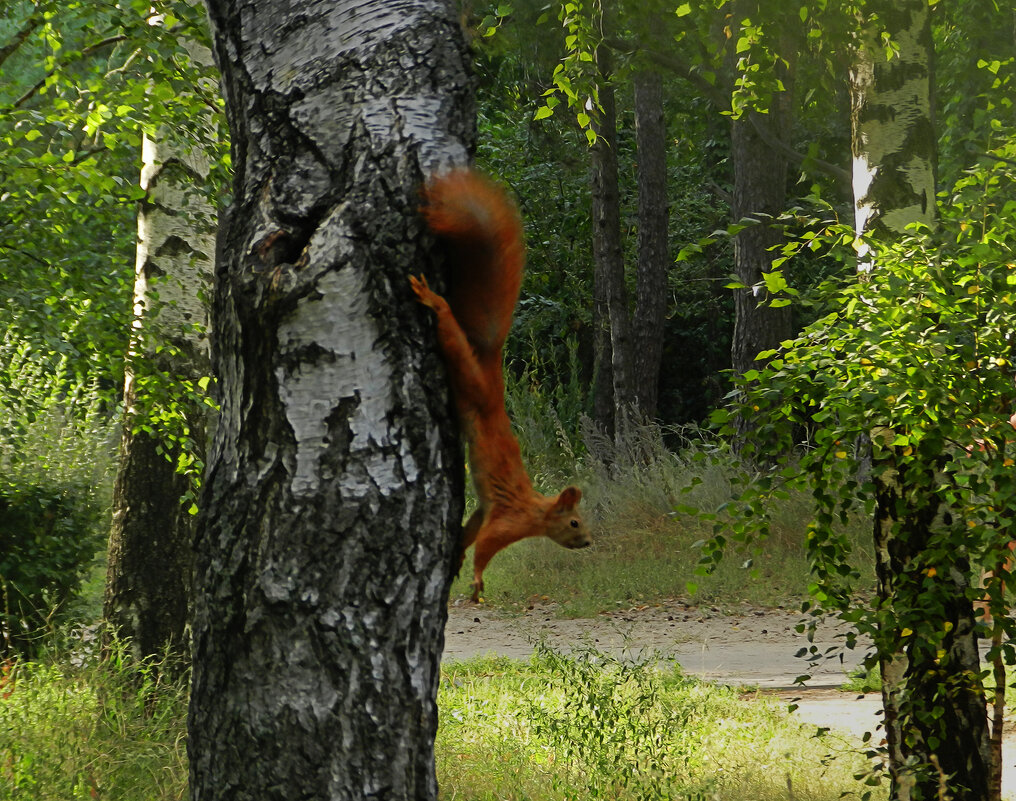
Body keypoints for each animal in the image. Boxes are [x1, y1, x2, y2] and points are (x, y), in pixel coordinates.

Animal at [408, 168, 593, 601]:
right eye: (575, 522)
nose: (589, 542)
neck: (537, 510)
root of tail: (493, 371)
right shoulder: (510, 519)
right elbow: (488, 545)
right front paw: (476, 579)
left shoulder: (486, 510)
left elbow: (472, 528)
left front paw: (458, 553)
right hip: (471, 379)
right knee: (452, 336)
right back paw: (433, 300)